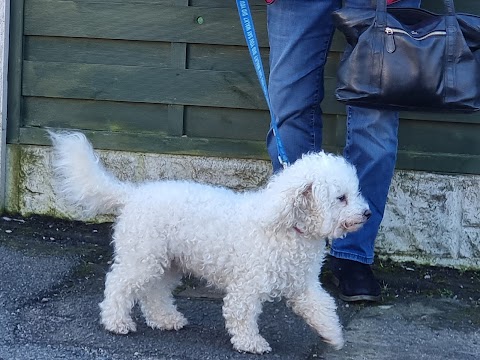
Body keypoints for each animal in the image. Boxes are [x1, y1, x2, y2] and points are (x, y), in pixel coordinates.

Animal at [49, 131, 372, 354]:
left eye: (356, 192)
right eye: (341, 198)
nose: (367, 213)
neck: (287, 227)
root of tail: (133, 195)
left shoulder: (303, 285)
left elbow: (323, 306)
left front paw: (333, 335)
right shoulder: (247, 286)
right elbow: (241, 314)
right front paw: (250, 343)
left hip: (167, 262)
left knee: (154, 292)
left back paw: (165, 319)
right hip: (142, 258)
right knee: (118, 284)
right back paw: (116, 322)